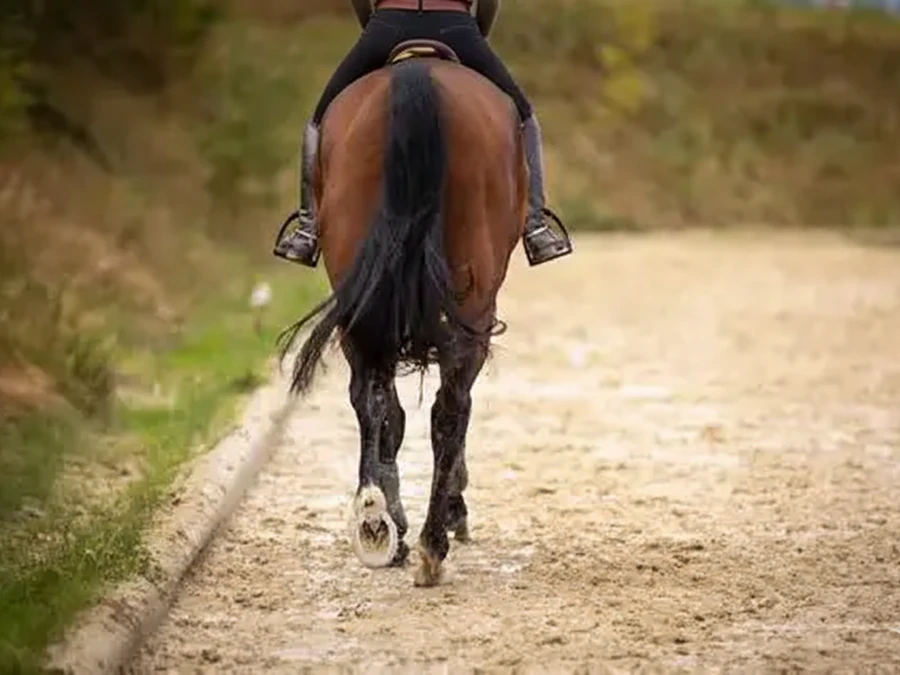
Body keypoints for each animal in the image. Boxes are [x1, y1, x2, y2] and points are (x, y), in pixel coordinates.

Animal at [277, 41, 526, 587]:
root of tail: (415, 76)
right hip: (471, 307)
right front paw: (453, 509)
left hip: (362, 298)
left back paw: (377, 522)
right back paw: (432, 541)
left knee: (375, 401)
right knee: (448, 410)